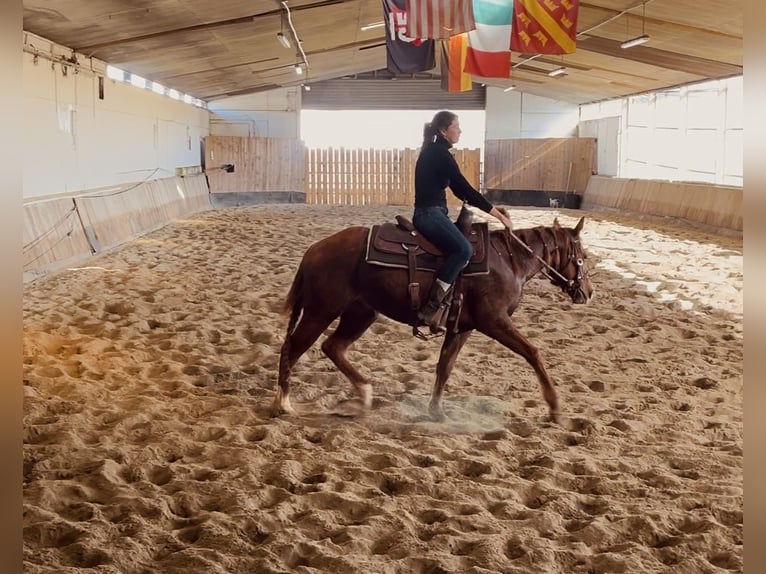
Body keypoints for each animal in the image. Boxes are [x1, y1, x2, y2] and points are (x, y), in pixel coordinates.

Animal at [274, 206, 594, 424]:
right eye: (584, 257)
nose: (589, 292)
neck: (508, 260)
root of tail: (314, 250)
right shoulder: (495, 322)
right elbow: (533, 352)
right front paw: (554, 406)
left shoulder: (462, 328)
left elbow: (444, 366)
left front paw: (436, 411)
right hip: (320, 311)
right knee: (293, 346)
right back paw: (284, 402)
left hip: (361, 313)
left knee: (333, 347)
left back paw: (364, 393)